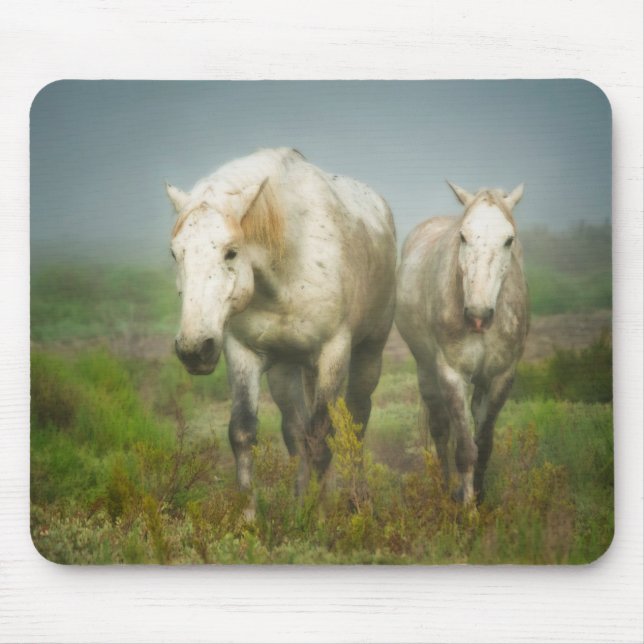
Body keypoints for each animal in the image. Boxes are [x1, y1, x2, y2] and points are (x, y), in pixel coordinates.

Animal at [166, 148, 397, 507]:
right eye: (176, 254)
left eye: (231, 252)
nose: (194, 348)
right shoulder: (243, 354)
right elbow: (244, 432)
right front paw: (257, 514)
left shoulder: (334, 353)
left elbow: (323, 437)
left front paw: (316, 515)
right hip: (285, 370)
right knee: (295, 430)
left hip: (369, 353)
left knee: (357, 421)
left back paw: (357, 499)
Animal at [395, 182, 529, 504]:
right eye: (463, 236)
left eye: (509, 240)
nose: (478, 316)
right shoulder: (451, 374)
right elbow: (466, 450)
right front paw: (468, 508)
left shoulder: (502, 377)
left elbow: (483, 445)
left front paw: (479, 497)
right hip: (426, 371)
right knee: (441, 430)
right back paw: (446, 490)